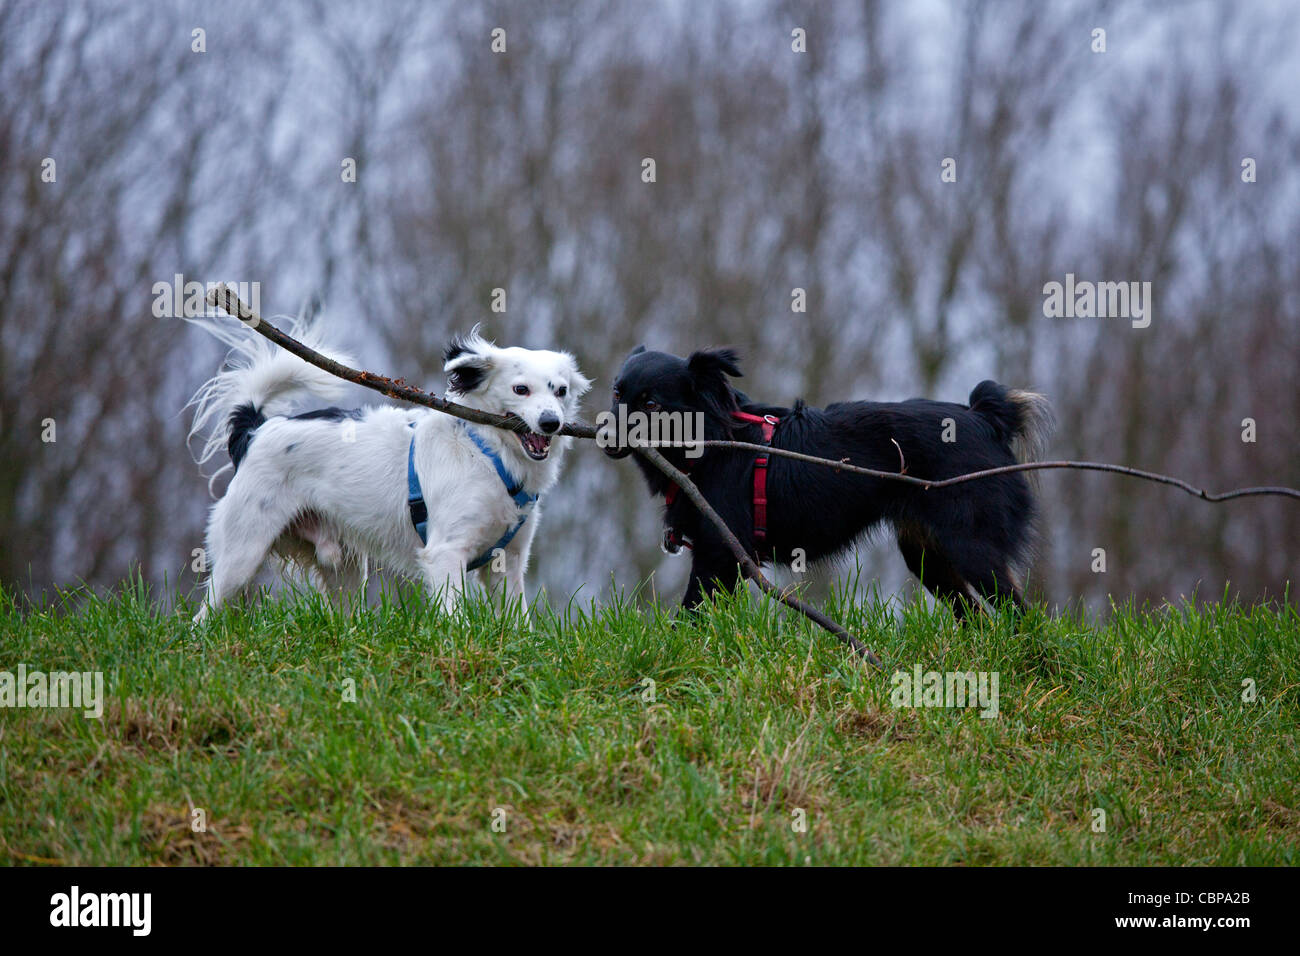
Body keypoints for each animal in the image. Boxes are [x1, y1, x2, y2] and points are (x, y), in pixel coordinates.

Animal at [185, 317, 592, 624]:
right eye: (521, 389)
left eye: (560, 391)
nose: (551, 423)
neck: (488, 454)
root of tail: (256, 430)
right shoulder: (445, 554)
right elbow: (456, 618)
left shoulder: (507, 562)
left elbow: (518, 621)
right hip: (242, 554)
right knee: (203, 617)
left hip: (345, 570)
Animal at [608, 345, 1055, 621]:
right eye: (616, 393)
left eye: (651, 405)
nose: (603, 434)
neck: (710, 442)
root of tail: (985, 417)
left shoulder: (719, 554)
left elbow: (691, 615)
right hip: (928, 556)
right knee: (977, 618)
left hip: (973, 548)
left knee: (1019, 614)